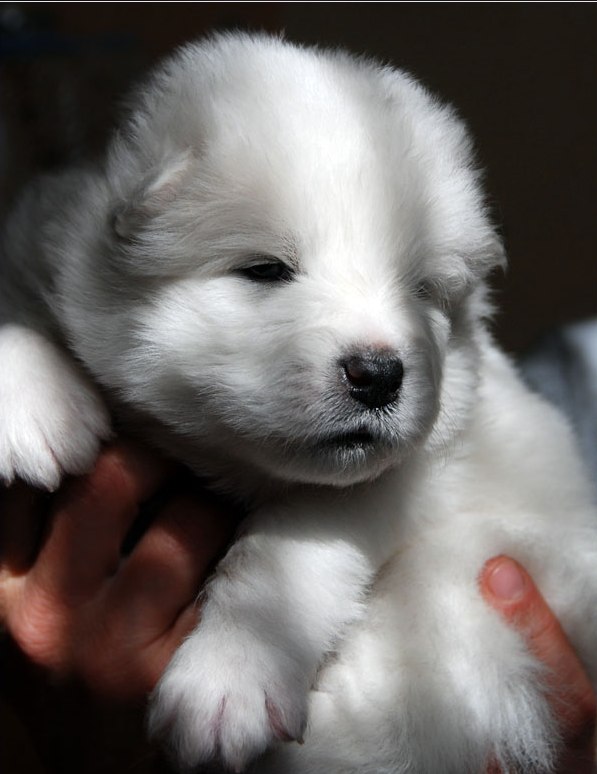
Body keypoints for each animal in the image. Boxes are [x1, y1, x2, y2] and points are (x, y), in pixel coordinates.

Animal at [1, 31, 596, 774]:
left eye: (420, 291)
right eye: (264, 271)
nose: (378, 374)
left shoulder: (413, 475)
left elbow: (285, 550)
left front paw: (227, 677)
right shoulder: (49, 230)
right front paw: (34, 403)